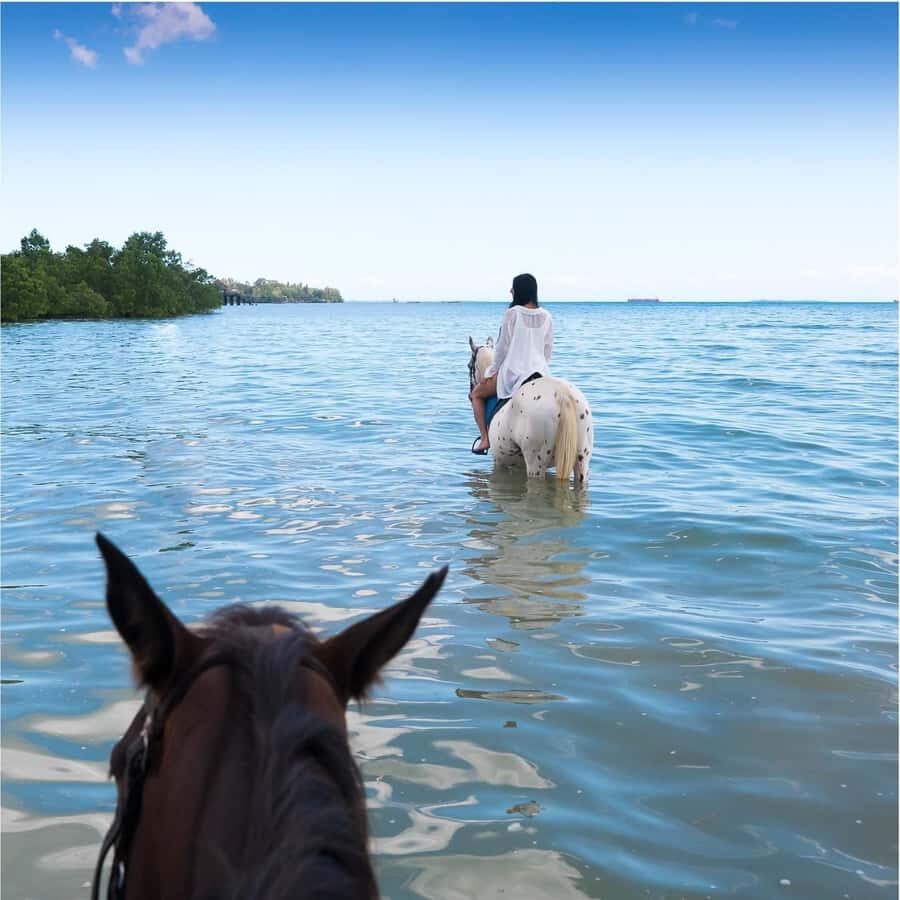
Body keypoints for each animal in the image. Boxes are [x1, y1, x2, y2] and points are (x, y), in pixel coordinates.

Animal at [467, 336, 593, 483]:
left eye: (469, 366)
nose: (470, 394)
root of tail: (562, 395)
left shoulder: (499, 460)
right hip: (582, 459)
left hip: (535, 463)